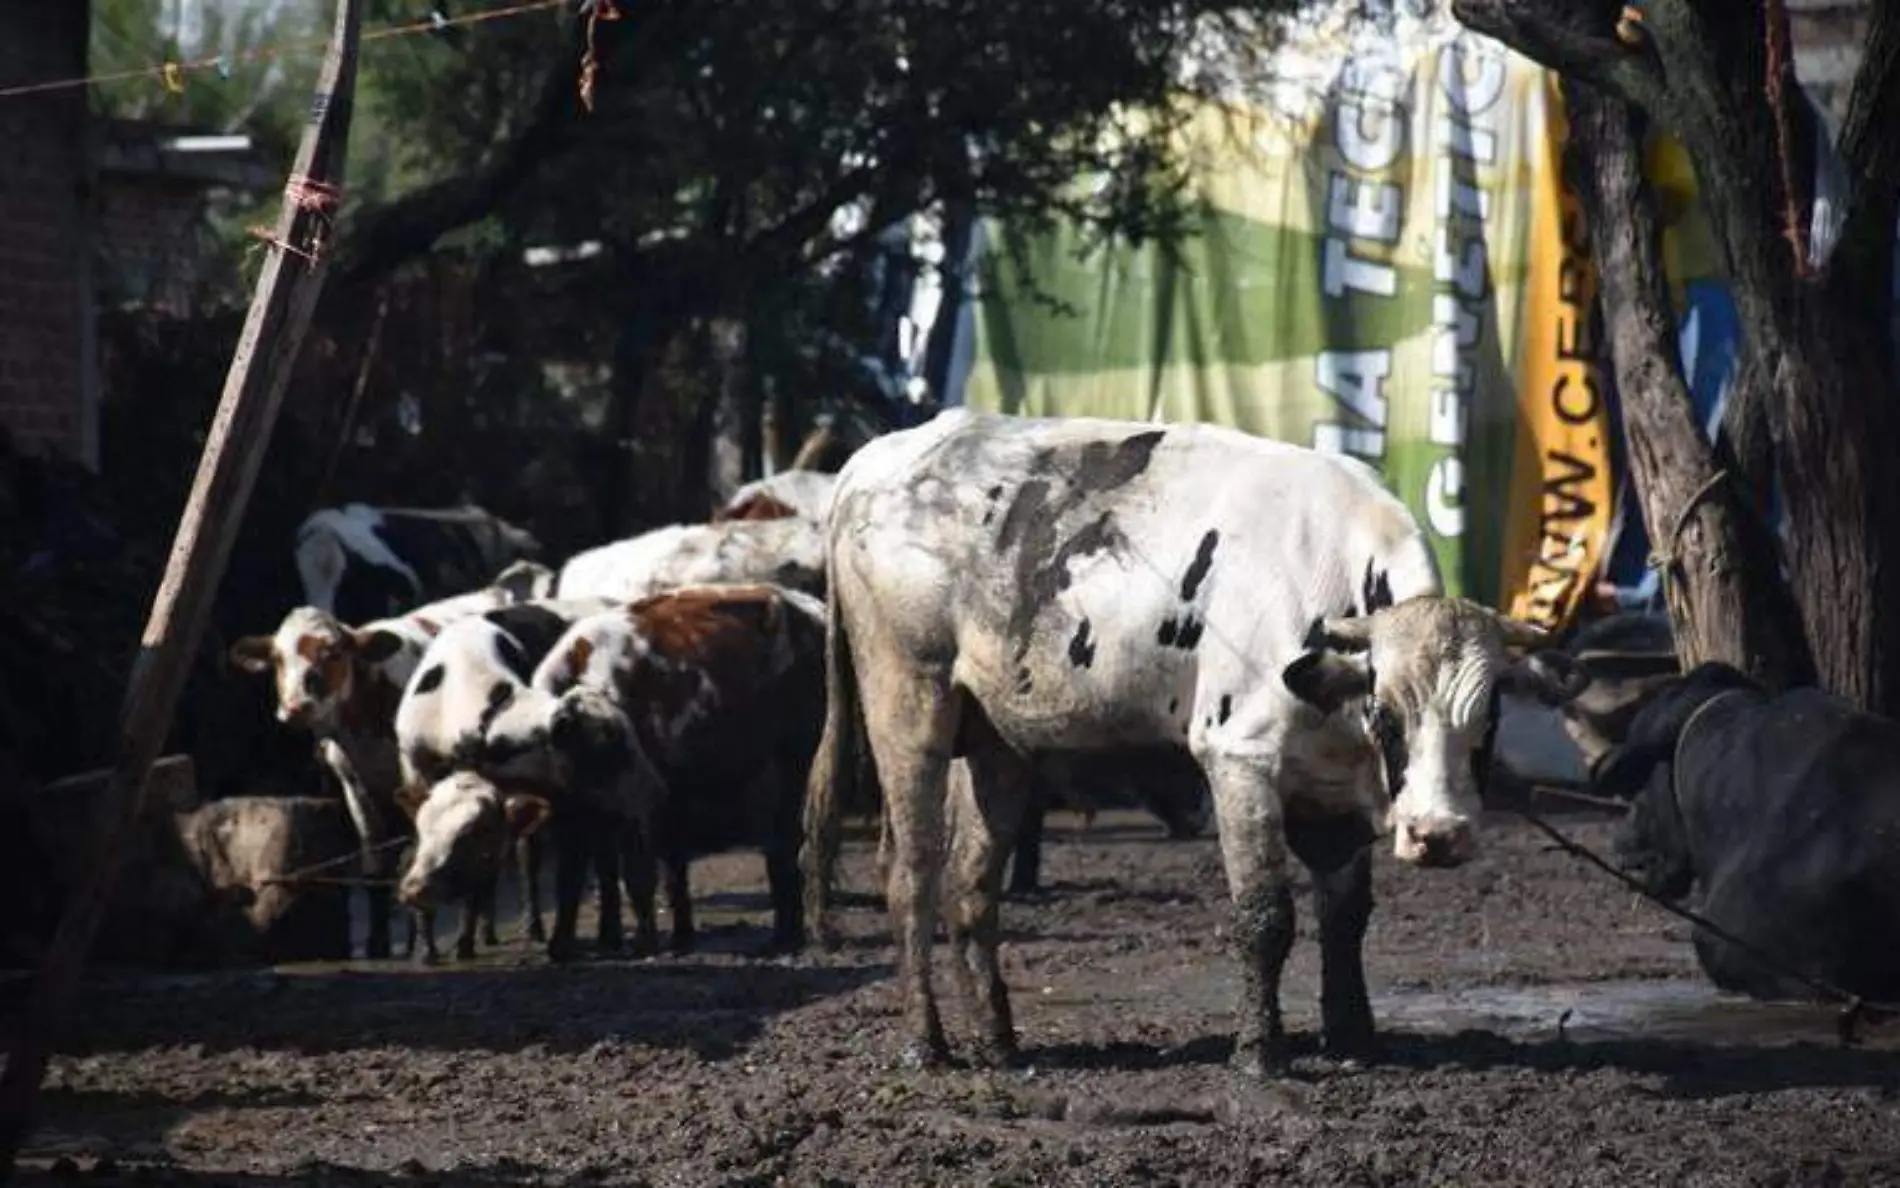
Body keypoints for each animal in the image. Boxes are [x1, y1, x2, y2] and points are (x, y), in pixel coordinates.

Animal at [801, 406, 1588, 1072]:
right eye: (1387, 712)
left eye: (1487, 721)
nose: (1439, 834)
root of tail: (883, 455)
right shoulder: (1240, 760)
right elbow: (1266, 915)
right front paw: (1260, 1053)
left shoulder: (1332, 792)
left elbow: (1345, 916)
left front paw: (1353, 1037)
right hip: (908, 702)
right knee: (912, 874)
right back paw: (927, 1046)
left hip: (998, 742)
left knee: (970, 884)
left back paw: (998, 1043)